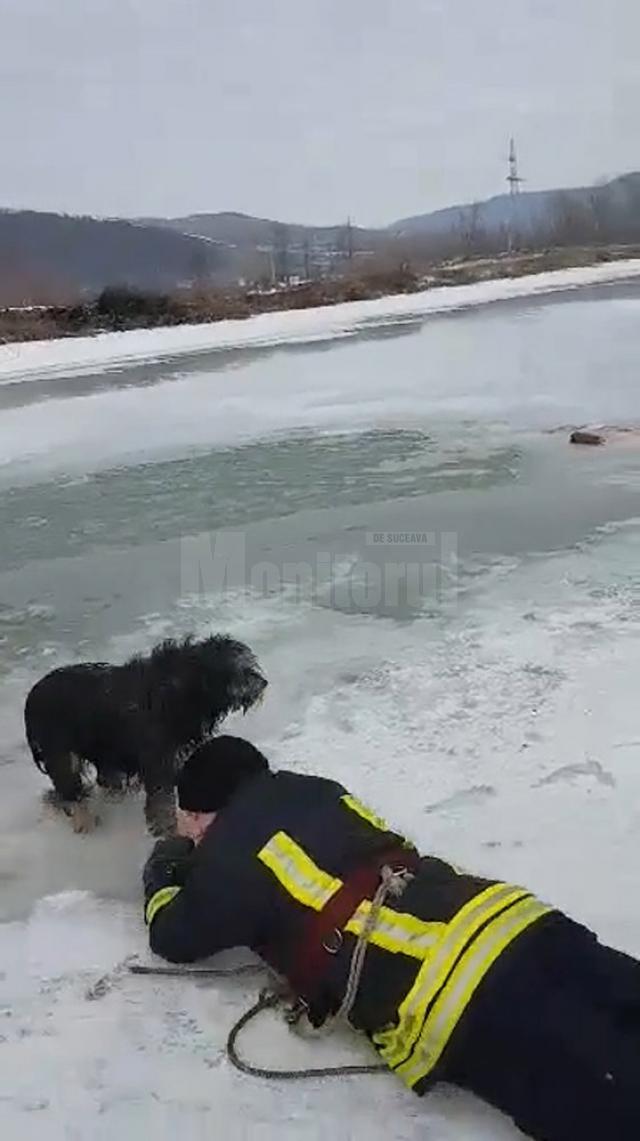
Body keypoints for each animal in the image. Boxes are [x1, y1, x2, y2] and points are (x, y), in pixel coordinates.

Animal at [23, 634, 265, 839]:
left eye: (250, 664)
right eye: (239, 670)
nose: (263, 683)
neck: (185, 688)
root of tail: (32, 696)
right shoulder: (159, 760)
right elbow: (162, 803)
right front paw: (168, 831)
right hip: (62, 753)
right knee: (69, 788)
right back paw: (83, 819)